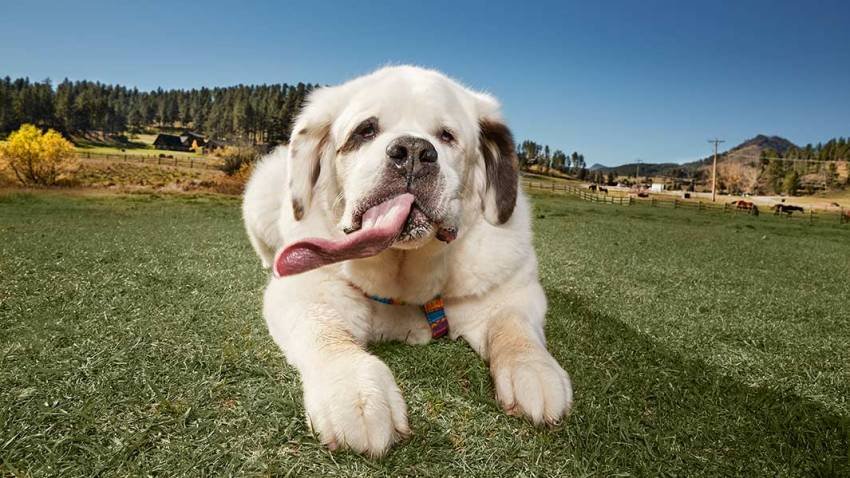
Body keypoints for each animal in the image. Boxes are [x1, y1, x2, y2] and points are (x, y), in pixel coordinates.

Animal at [240, 64, 568, 456]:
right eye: (366, 130)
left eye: (446, 136)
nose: (412, 150)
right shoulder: (302, 290)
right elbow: (326, 332)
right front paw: (356, 392)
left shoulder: (515, 289)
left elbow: (514, 327)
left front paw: (534, 371)